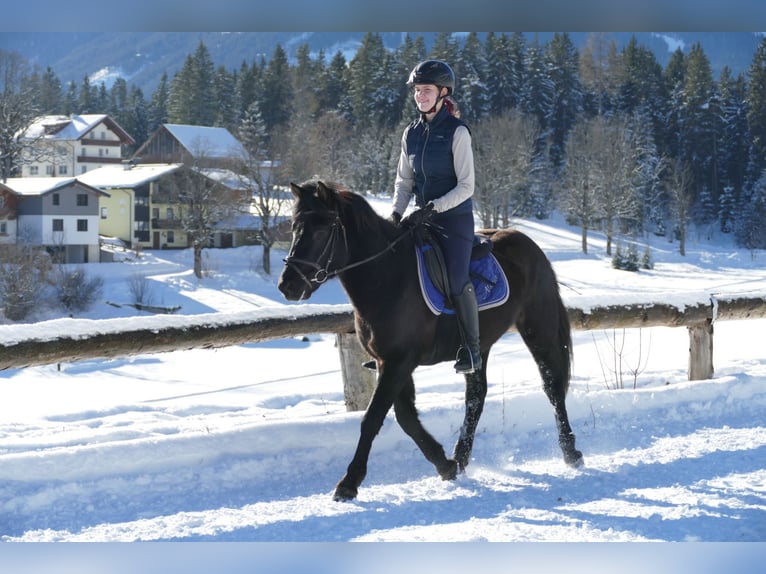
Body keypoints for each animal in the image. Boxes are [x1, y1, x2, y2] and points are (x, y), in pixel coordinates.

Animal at [280, 182, 584, 502]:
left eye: (322, 230)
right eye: (295, 227)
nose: (288, 285)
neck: (387, 277)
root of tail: (529, 244)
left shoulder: (399, 362)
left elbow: (373, 418)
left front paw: (349, 483)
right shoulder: (389, 362)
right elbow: (405, 417)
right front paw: (444, 464)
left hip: (539, 330)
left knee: (552, 387)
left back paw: (571, 452)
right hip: (480, 346)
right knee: (476, 398)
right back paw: (461, 458)